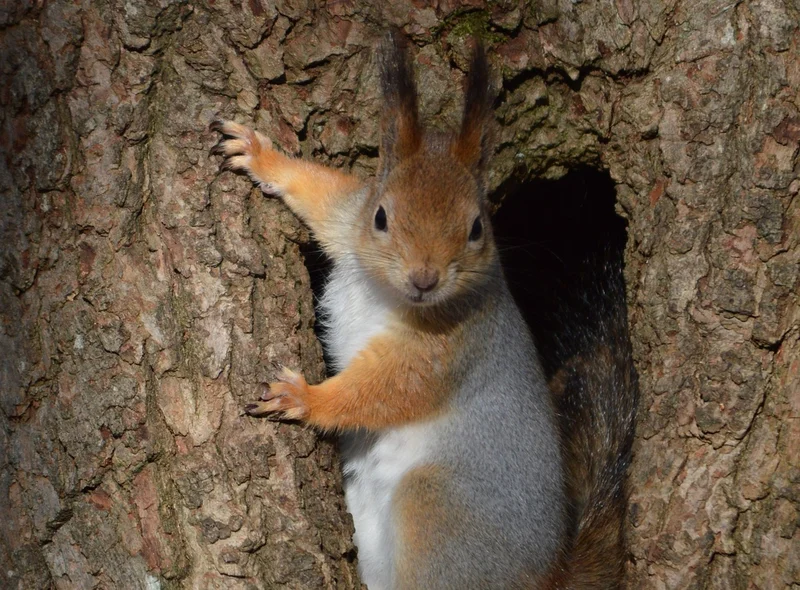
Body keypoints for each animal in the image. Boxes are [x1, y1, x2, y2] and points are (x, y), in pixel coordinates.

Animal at [212, 31, 638, 590]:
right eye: (381, 216)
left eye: (478, 227)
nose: (424, 279)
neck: (385, 292)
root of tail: (547, 578)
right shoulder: (349, 219)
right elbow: (321, 194)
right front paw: (262, 156)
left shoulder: (449, 350)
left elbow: (387, 389)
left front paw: (304, 397)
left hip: (435, 511)